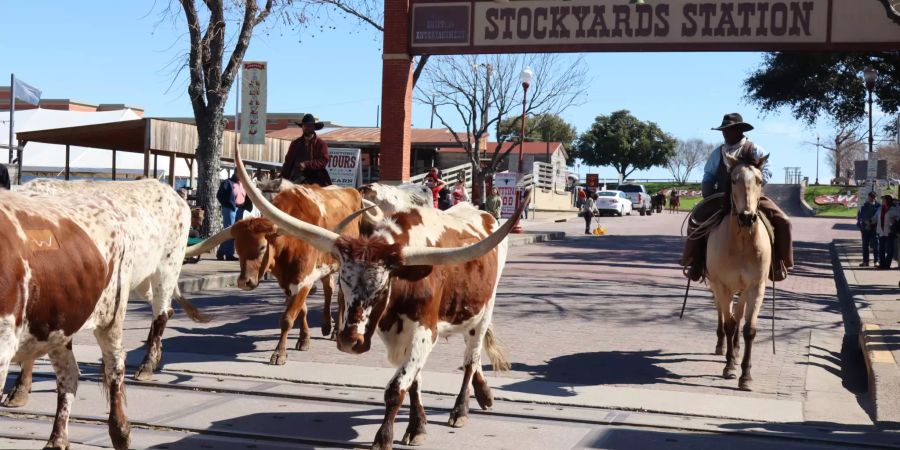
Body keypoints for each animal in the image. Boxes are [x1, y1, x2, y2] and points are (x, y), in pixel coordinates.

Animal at [236, 149, 524, 448]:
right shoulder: (397, 335)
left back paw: (460, 410)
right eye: (343, 282)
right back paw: (484, 394)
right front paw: (418, 426)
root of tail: (483, 213)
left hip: (484, 311)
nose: (349, 341)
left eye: (382, 288)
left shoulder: (424, 332)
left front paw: (384, 436)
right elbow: (414, 383)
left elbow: (397, 387)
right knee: (473, 359)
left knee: (471, 358)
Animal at [708, 151, 768, 390]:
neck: (742, 242)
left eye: (759, 180)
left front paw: (746, 376)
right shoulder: (722, 285)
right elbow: (729, 323)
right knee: (723, 314)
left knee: (739, 314)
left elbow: (748, 328)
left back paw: (735, 348)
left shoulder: (756, 287)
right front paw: (730, 366)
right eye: (733, 180)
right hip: (716, 286)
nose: (747, 216)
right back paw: (722, 347)